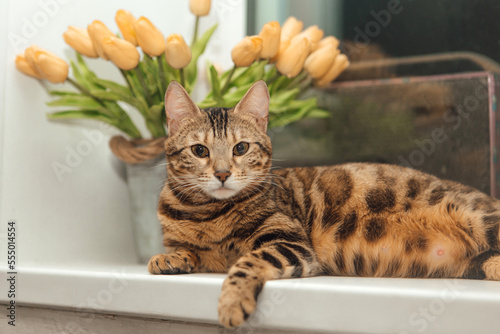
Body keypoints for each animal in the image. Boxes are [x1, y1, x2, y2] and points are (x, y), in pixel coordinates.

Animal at [147, 80, 500, 326]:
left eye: (241, 148)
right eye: (200, 151)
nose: (222, 174)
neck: (206, 214)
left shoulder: (290, 243)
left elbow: (244, 263)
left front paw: (232, 302)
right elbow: (185, 250)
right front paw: (168, 258)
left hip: (480, 218)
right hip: (476, 263)